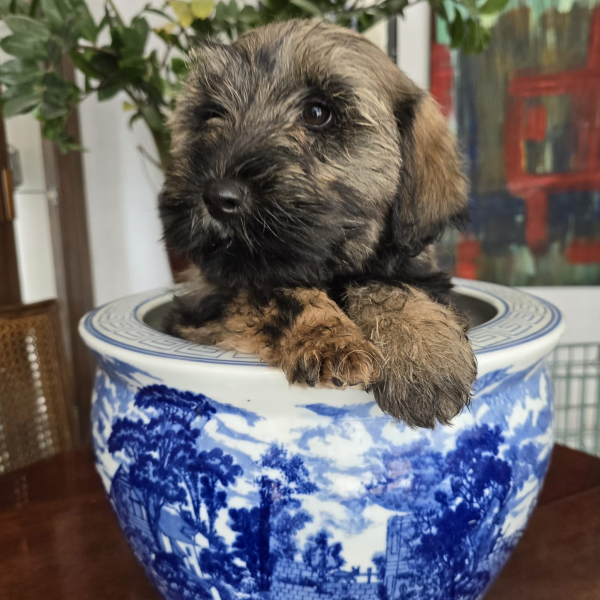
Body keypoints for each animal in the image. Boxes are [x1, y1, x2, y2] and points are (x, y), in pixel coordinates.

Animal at [159, 20, 477, 429]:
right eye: (212, 113)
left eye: (317, 113)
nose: (218, 195)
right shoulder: (210, 304)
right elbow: (279, 293)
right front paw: (332, 342)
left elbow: (389, 286)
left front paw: (422, 355)